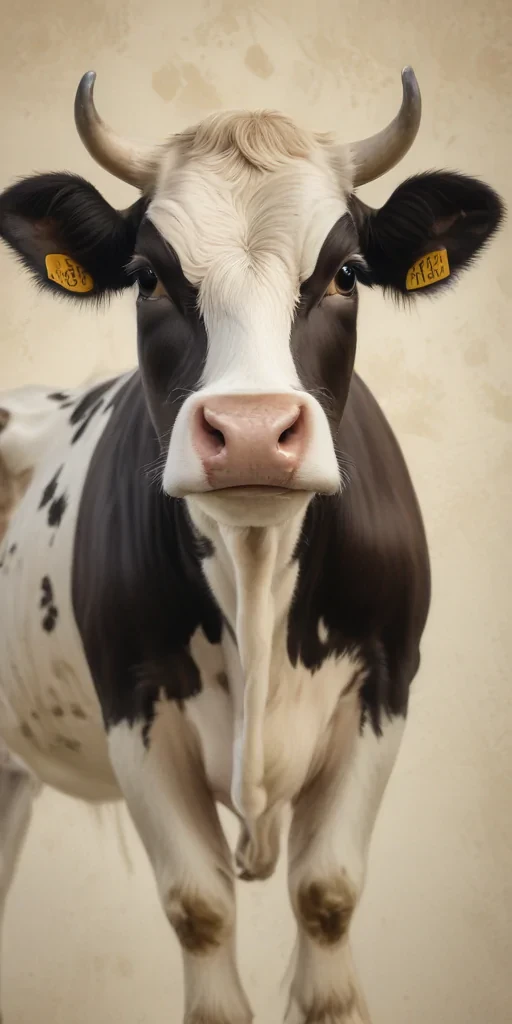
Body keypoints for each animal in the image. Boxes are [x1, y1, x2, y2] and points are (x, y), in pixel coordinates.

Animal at [0, 67, 504, 1024]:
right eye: (148, 278)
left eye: (346, 273)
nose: (252, 430)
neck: (257, 565)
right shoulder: (133, 706)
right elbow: (200, 909)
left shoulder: (385, 690)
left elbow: (327, 896)